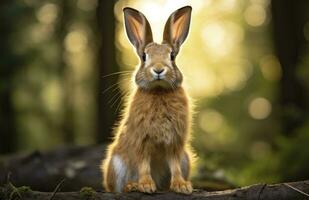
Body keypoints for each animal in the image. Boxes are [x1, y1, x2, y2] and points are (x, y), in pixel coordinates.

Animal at [100, 5, 192, 194]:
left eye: (172, 56)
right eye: (144, 56)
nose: (158, 69)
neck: (159, 91)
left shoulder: (175, 142)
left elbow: (175, 165)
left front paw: (182, 186)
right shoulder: (141, 139)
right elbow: (143, 163)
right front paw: (146, 185)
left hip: (186, 159)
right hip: (117, 164)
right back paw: (131, 185)